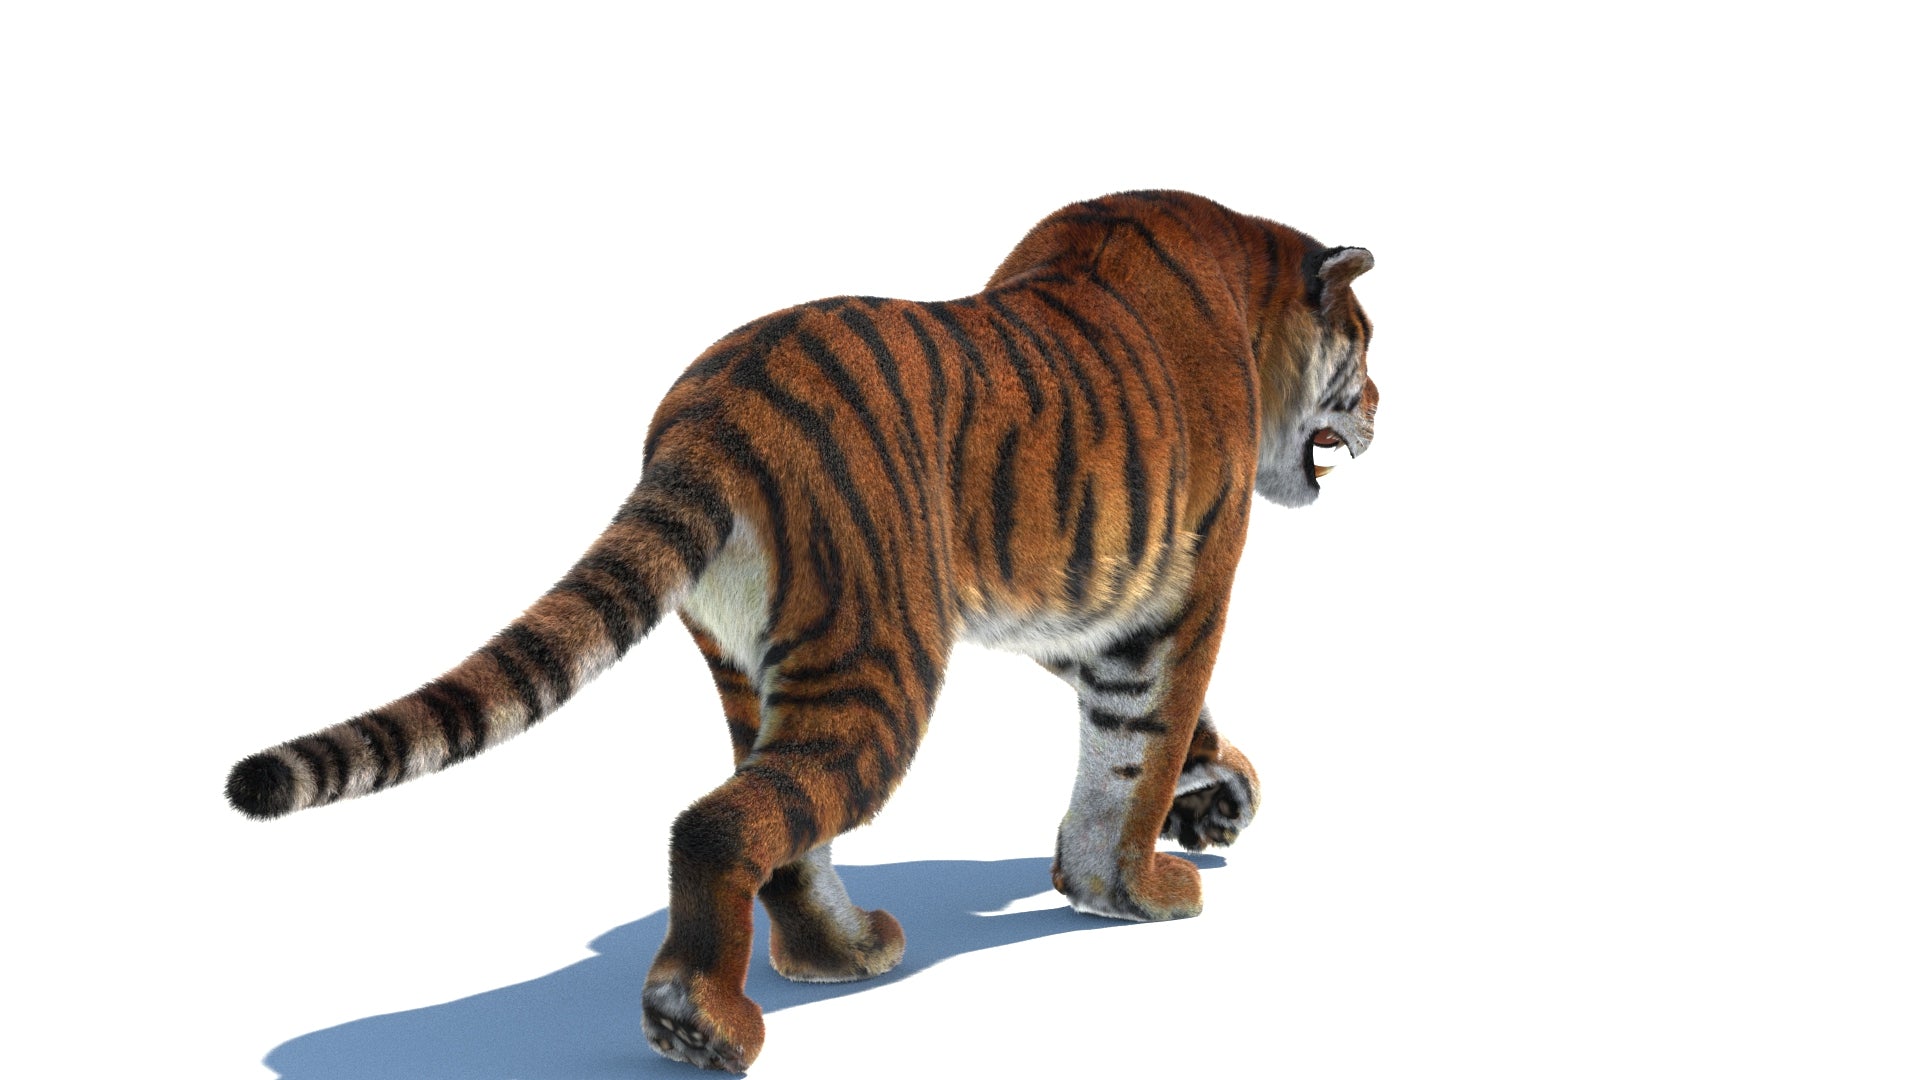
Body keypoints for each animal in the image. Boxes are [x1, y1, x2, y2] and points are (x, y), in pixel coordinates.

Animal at [225, 189, 1379, 1071]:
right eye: (1363, 347)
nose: (1380, 407)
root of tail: (717, 410)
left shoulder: (1074, 607)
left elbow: (1170, 730)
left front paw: (1218, 795)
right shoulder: (1176, 598)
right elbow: (1135, 755)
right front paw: (1130, 888)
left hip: (763, 665)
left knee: (782, 830)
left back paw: (841, 953)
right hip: (883, 654)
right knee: (721, 823)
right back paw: (703, 1024)